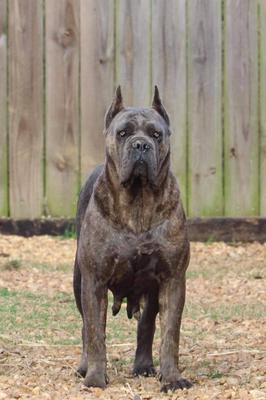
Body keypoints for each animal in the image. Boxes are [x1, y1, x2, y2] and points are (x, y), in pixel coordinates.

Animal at [74, 86, 192, 390]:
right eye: (123, 133)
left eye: (156, 134)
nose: (140, 145)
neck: (138, 200)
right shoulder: (94, 281)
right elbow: (95, 332)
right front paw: (95, 378)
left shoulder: (172, 280)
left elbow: (170, 334)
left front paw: (172, 378)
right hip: (78, 280)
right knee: (85, 326)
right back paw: (84, 367)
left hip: (150, 291)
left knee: (146, 325)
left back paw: (143, 365)